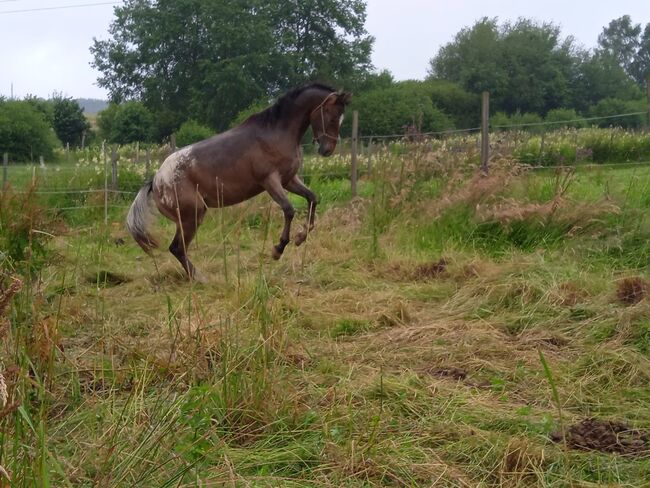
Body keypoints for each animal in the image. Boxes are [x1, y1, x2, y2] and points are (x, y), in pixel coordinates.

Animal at [124, 84, 352, 278]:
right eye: (332, 117)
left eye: (341, 119)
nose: (327, 150)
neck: (276, 134)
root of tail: (155, 181)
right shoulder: (270, 181)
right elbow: (289, 210)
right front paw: (278, 249)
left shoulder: (289, 180)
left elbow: (313, 198)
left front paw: (300, 237)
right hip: (192, 217)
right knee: (177, 248)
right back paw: (200, 278)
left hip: (189, 218)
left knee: (177, 248)